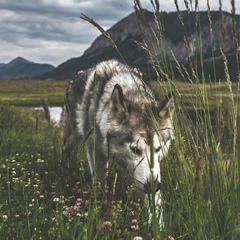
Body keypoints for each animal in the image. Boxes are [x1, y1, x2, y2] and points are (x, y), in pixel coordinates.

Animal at [61, 59, 173, 226]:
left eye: (158, 149)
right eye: (135, 149)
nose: (154, 186)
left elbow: (155, 208)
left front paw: (158, 227)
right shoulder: (96, 155)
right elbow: (99, 186)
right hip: (71, 138)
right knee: (65, 152)